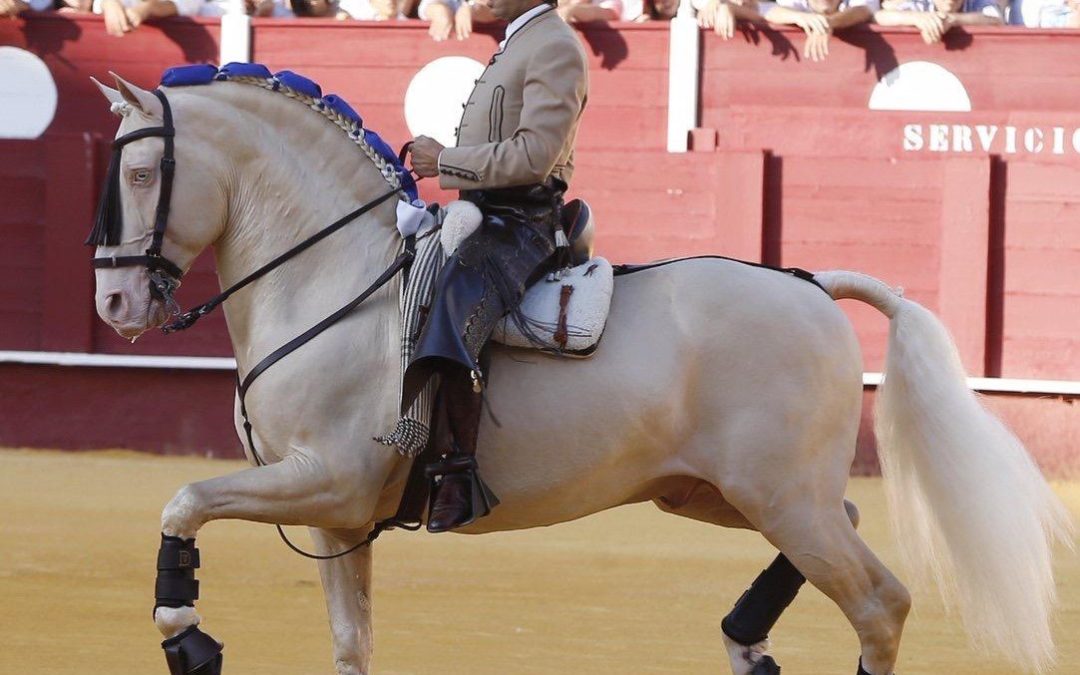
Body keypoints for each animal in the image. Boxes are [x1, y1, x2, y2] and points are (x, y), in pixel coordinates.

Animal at [90, 69, 1071, 673]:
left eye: (139, 173)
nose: (114, 303)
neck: (333, 277)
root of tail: (810, 283)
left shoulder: (329, 477)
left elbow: (183, 501)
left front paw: (187, 639)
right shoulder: (338, 515)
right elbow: (350, 642)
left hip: (780, 497)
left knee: (880, 602)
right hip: (729, 492)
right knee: (851, 534)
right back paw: (746, 639)